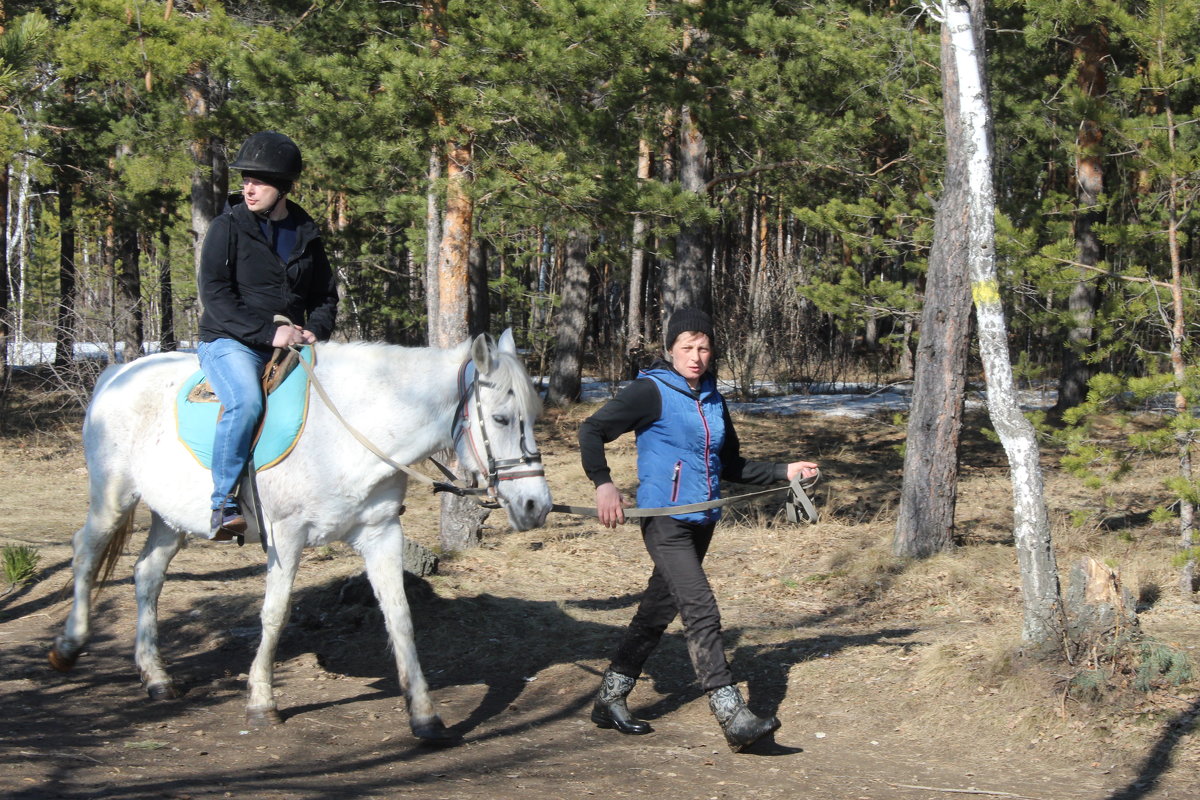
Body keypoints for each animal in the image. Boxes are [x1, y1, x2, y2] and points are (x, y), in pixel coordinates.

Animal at [48, 328, 552, 743]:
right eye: (502, 419)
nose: (537, 505)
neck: (348, 431)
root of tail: (116, 373)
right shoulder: (286, 537)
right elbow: (275, 615)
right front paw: (261, 702)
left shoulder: (381, 534)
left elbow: (400, 617)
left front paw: (424, 715)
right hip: (113, 496)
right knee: (85, 553)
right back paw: (69, 648)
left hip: (170, 517)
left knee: (147, 574)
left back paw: (155, 677)